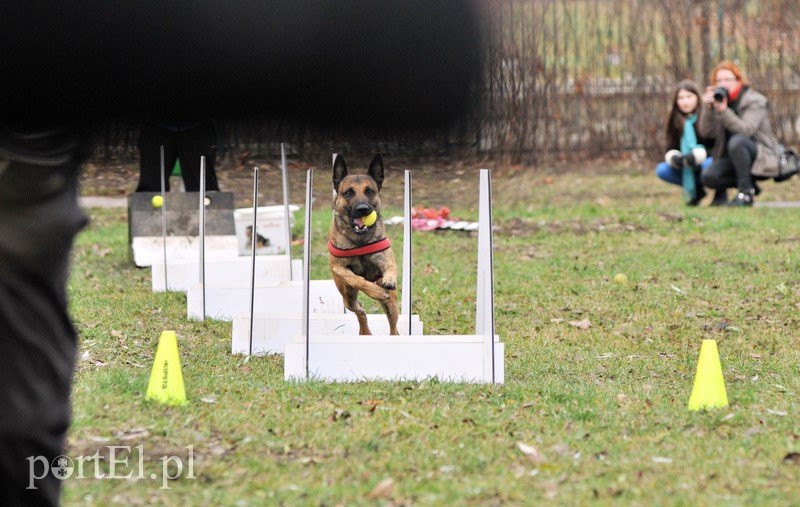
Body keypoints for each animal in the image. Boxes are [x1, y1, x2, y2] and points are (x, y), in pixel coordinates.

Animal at [326, 155, 398, 338]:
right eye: (349, 192)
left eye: (369, 191)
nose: (363, 209)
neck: (360, 240)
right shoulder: (338, 267)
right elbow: (356, 279)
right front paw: (375, 291)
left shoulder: (387, 261)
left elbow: (391, 268)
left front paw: (389, 279)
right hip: (347, 298)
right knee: (360, 310)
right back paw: (365, 331)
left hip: (392, 305)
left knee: (394, 327)